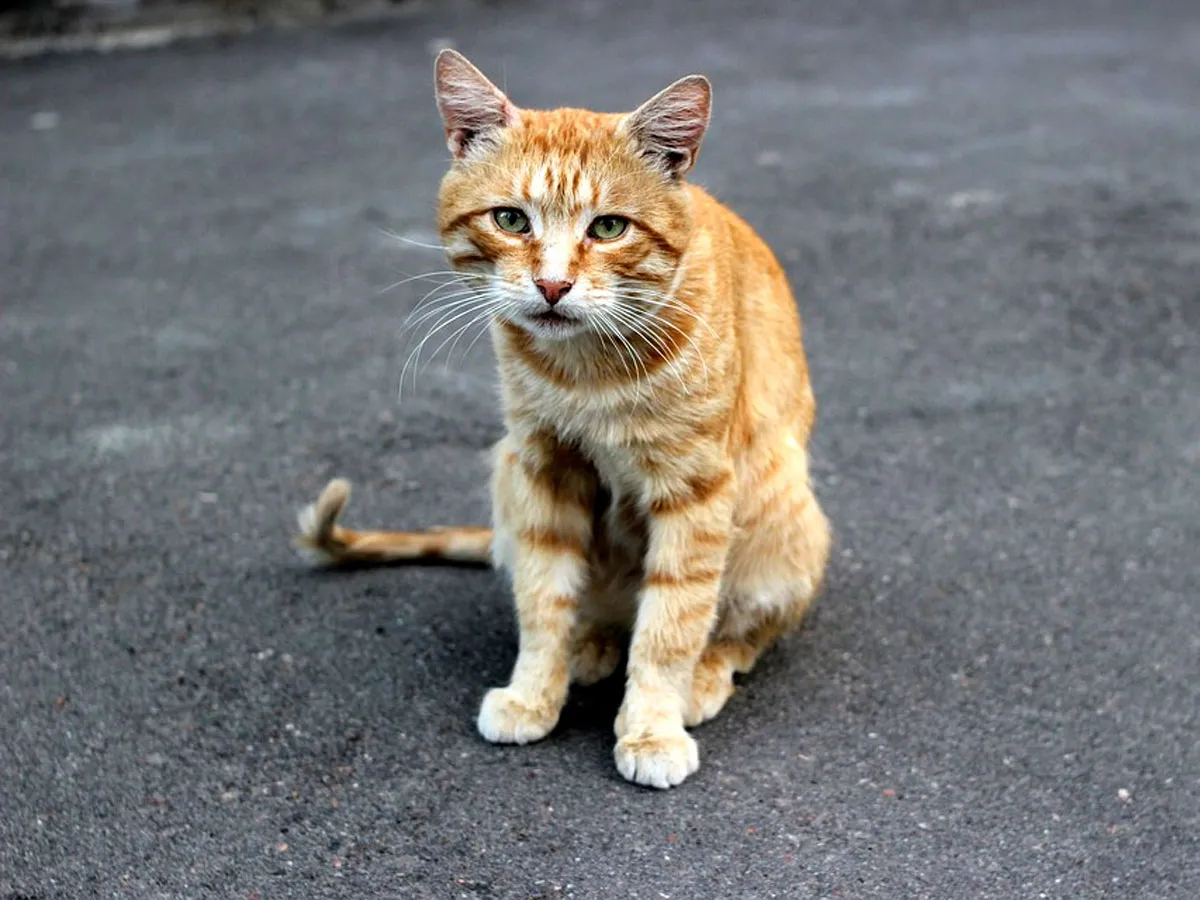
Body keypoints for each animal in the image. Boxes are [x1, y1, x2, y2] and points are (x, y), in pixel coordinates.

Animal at [295, 52, 830, 792]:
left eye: (608, 228)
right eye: (511, 220)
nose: (552, 286)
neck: (588, 371)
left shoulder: (695, 491)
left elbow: (672, 622)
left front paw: (652, 727)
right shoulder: (542, 466)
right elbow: (543, 599)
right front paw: (534, 694)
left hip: (781, 510)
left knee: (739, 633)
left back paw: (702, 677)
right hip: (506, 474)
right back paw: (593, 643)